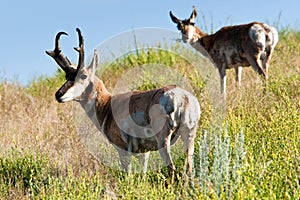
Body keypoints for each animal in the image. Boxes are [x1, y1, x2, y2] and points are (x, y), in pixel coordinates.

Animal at [46, 27, 202, 181]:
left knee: (172, 168)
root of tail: (182, 97)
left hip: (163, 140)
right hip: (189, 137)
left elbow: (127, 173)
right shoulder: (144, 152)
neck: (107, 105)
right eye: (67, 76)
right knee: (189, 167)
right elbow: (143, 173)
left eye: (83, 76)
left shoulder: (123, 150)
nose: (58, 94)